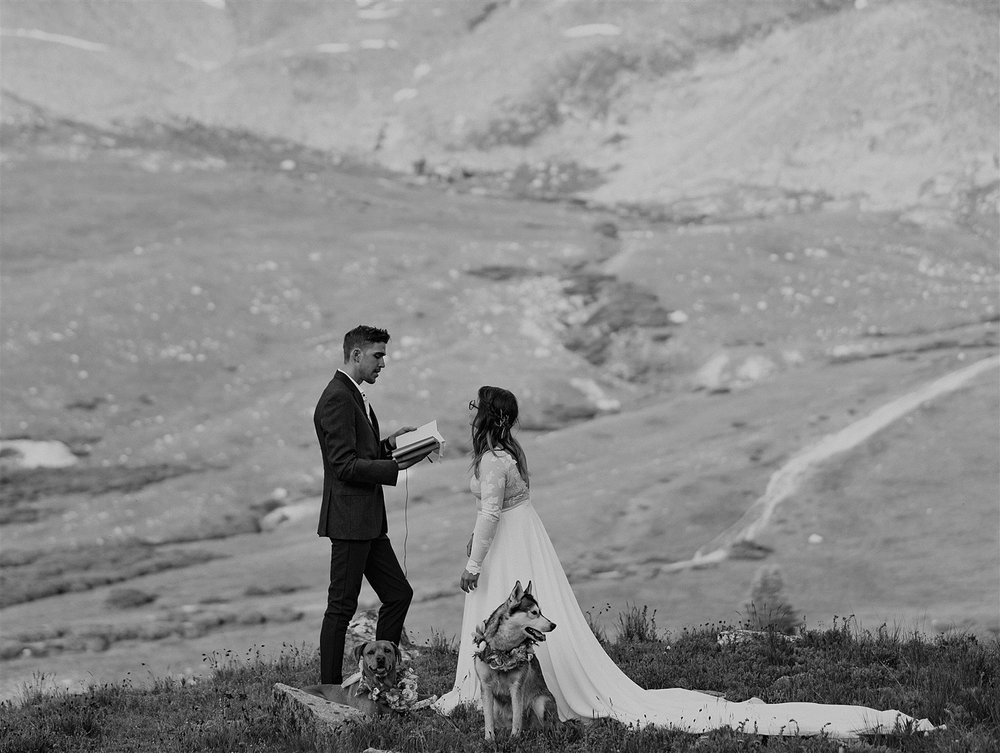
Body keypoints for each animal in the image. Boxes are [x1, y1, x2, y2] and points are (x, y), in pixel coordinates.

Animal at [474, 580, 560, 736]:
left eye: (541, 612)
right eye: (534, 612)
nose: (553, 625)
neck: (503, 651)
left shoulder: (517, 686)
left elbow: (517, 716)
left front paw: (514, 737)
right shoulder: (486, 686)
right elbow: (488, 718)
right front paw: (489, 738)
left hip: (540, 702)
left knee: (549, 726)